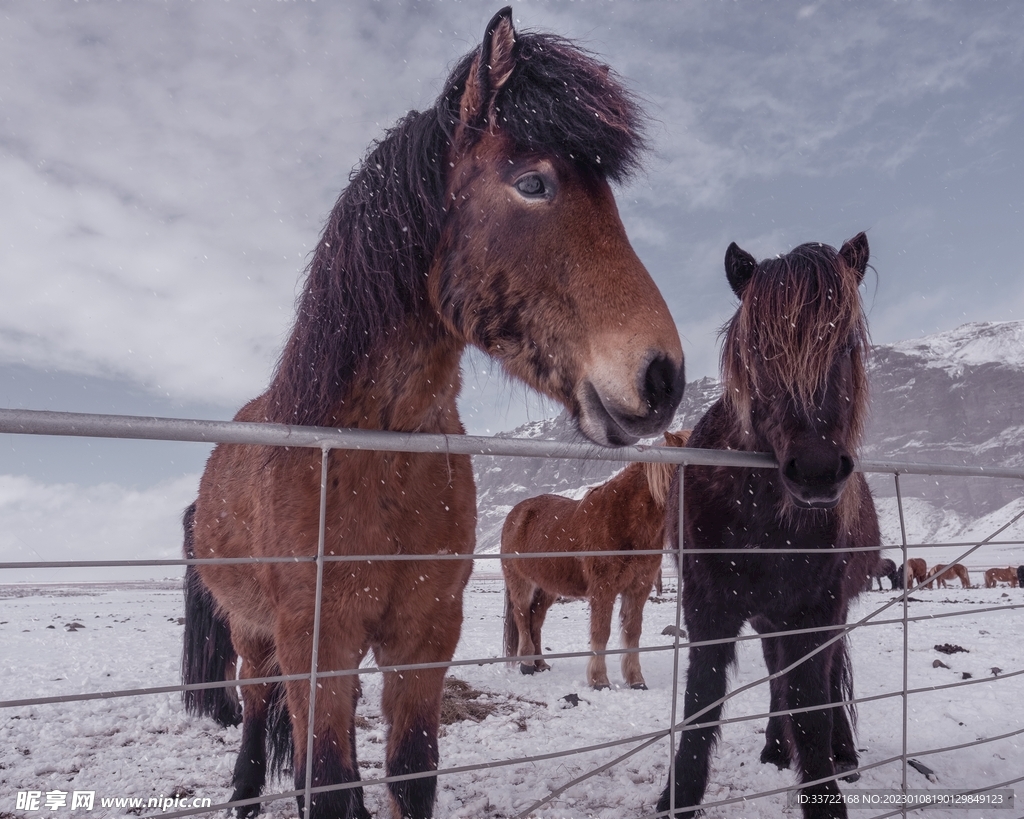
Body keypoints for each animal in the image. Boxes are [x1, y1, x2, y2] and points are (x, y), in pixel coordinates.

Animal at [501, 430, 689, 690]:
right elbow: (601, 631)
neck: (625, 520)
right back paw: (528, 663)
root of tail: (515, 514)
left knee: (535, 620)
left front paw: (636, 680)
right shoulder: (603, 588)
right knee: (521, 617)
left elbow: (633, 632)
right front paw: (600, 680)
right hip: (521, 583)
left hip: (547, 589)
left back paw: (541, 664)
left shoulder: (639, 588)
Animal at [657, 234, 880, 819]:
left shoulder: (814, 610)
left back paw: (842, 753)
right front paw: (678, 797)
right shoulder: (708, 608)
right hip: (767, 619)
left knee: (825, 678)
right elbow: (701, 703)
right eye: (759, 349)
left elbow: (812, 707)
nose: (818, 470)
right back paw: (776, 749)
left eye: (846, 343)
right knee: (781, 677)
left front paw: (825, 794)